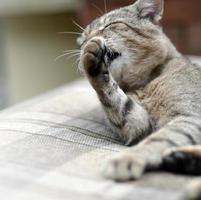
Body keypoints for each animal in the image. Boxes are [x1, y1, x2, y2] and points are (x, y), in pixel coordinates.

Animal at [77, 0, 201, 198]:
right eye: (82, 40)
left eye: (110, 25)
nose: (89, 40)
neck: (142, 86)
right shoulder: (138, 125)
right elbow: (115, 99)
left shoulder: (190, 115)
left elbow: (160, 138)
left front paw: (127, 158)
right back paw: (183, 160)